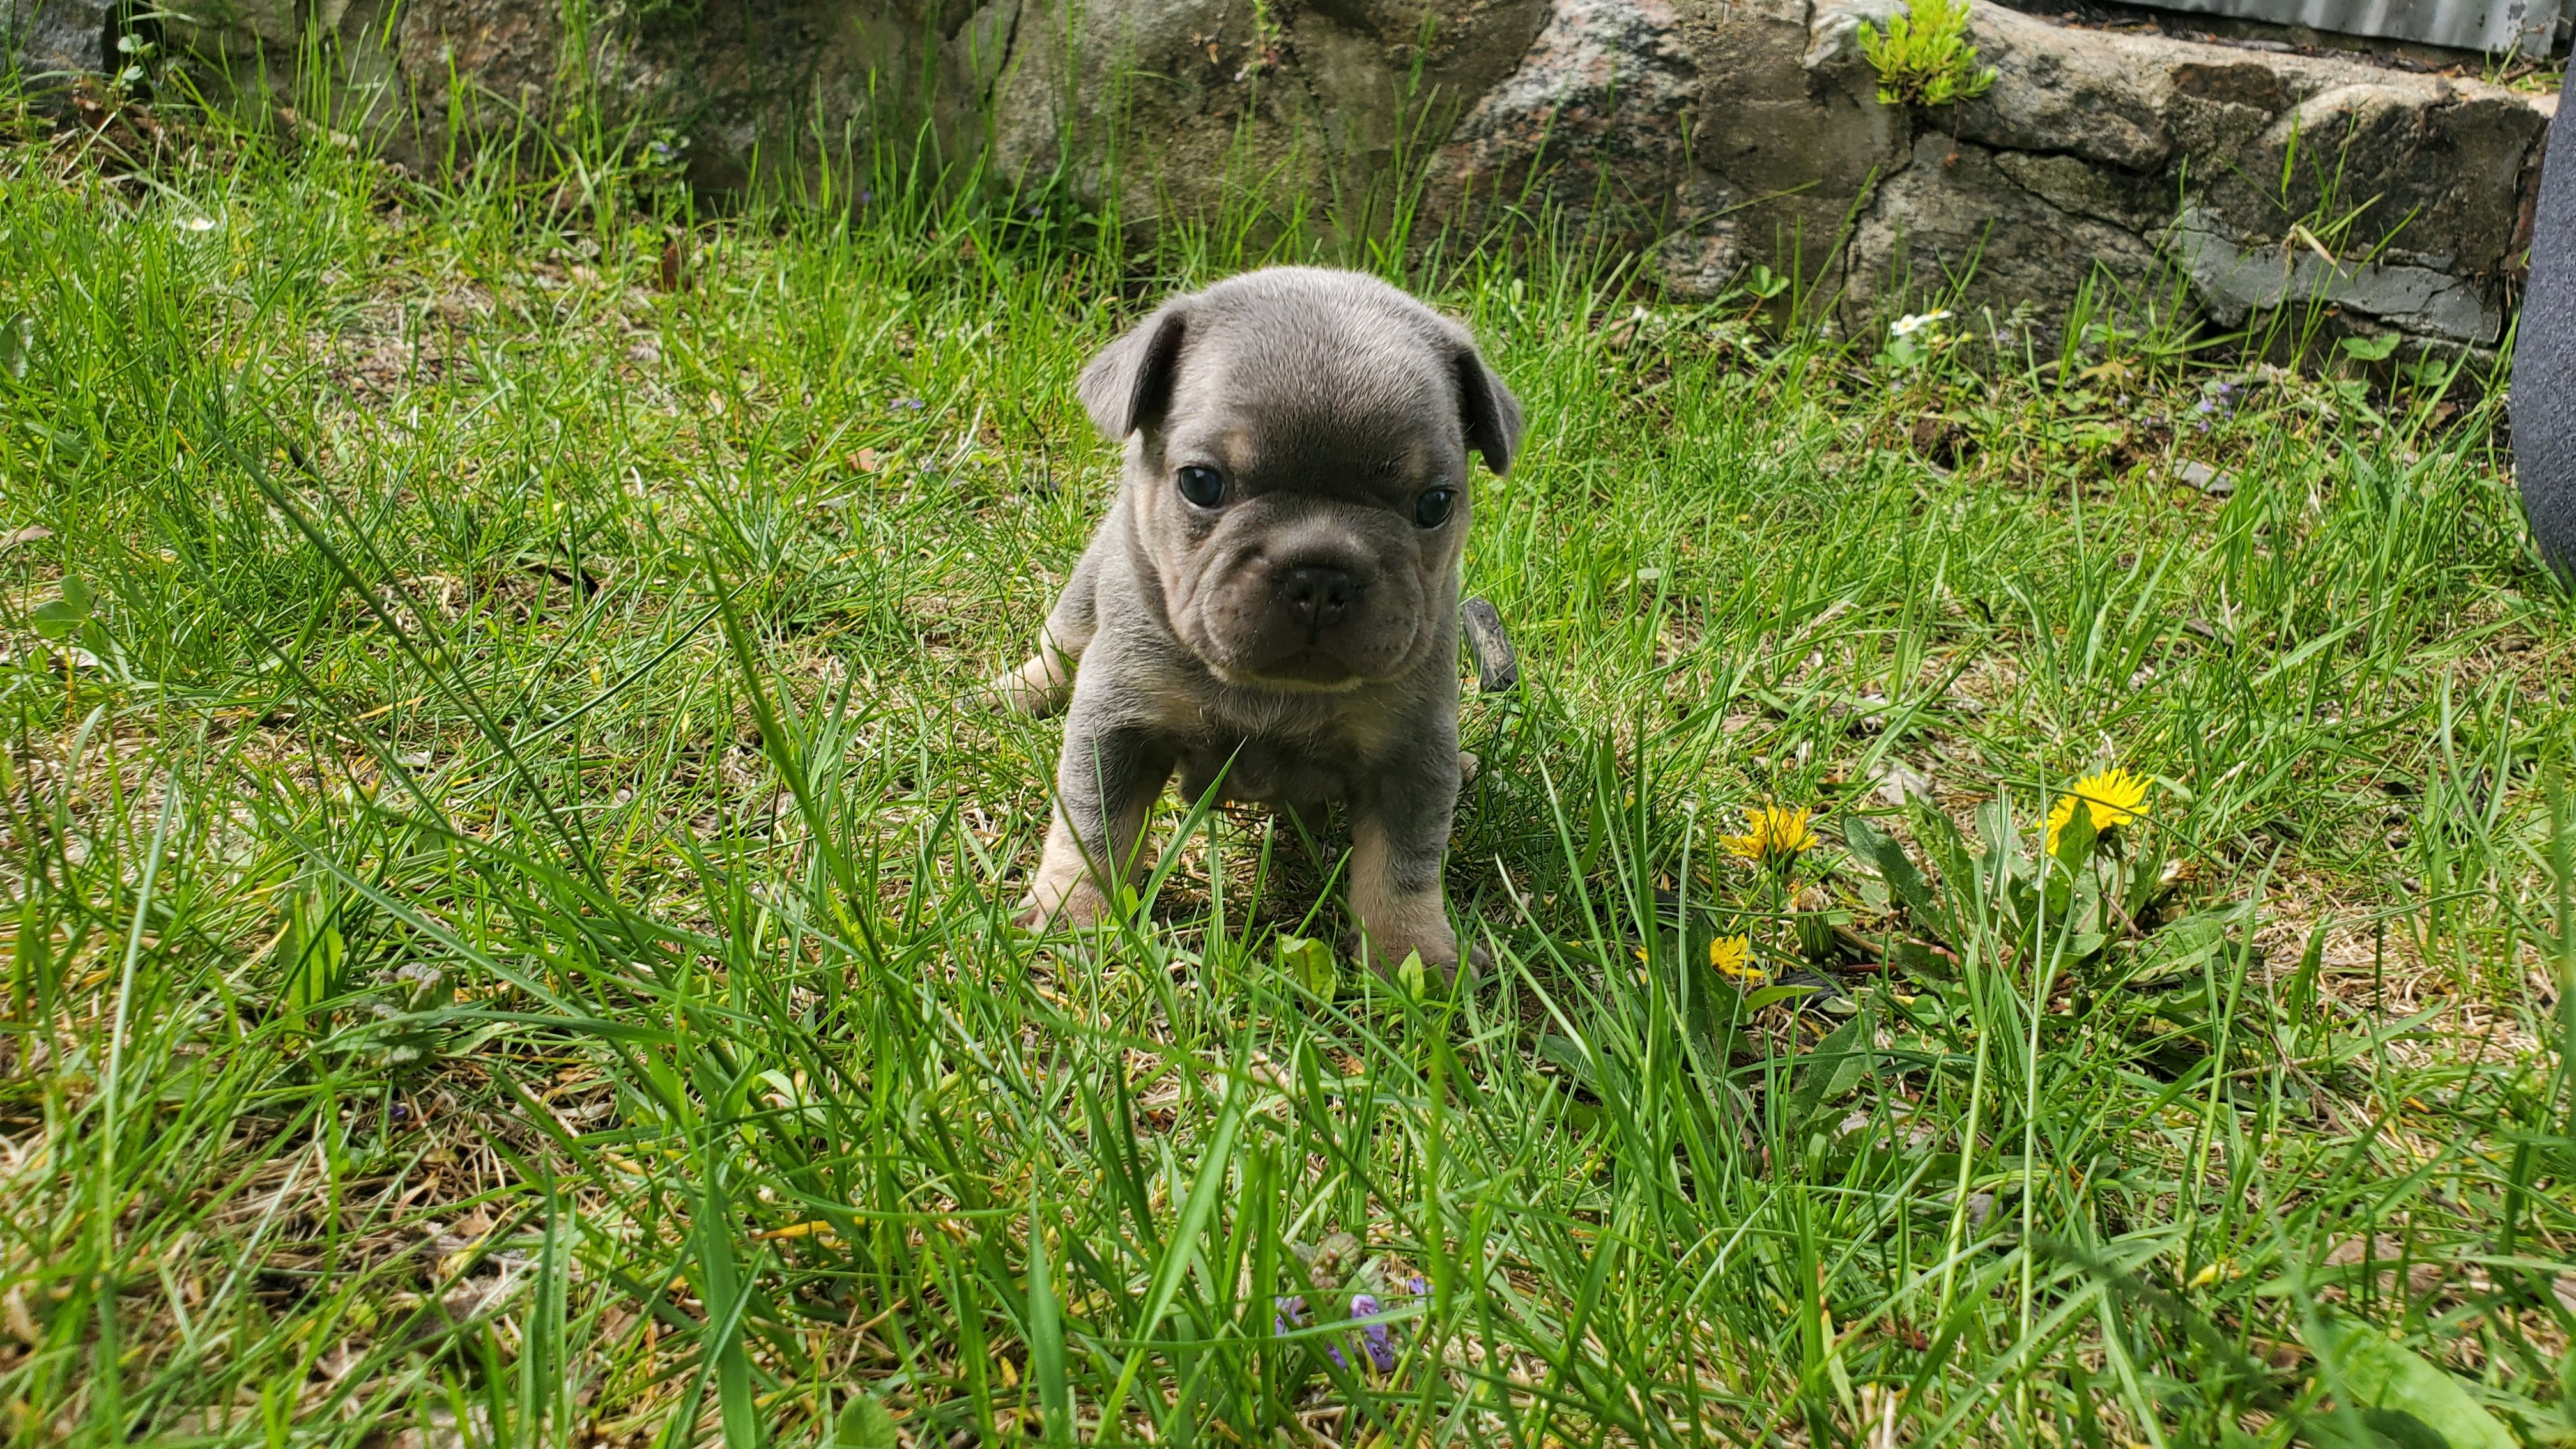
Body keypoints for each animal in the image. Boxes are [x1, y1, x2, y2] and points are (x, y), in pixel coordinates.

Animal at [979, 265, 1504, 974]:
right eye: (1201, 483)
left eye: (1435, 504)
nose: (1322, 575)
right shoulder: (1118, 726)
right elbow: (1095, 827)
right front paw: (1073, 915)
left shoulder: (1409, 755)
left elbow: (1402, 867)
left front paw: (1412, 956)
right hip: (1084, 593)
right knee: (1061, 645)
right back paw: (1017, 691)